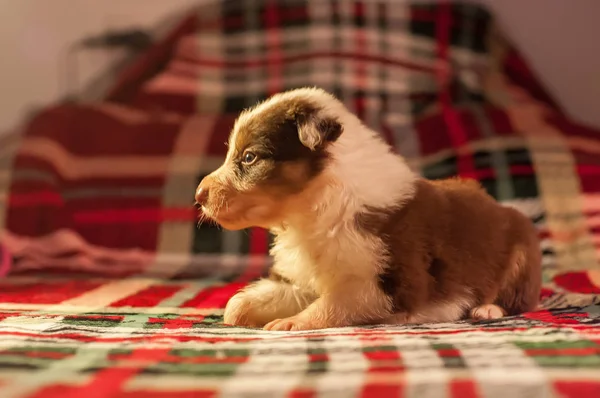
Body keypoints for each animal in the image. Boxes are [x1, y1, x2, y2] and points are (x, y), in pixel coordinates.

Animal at [195, 88, 540, 332]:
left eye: (249, 157)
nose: (199, 195)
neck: (314, 210)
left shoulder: (391, 282)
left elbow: (338, 301)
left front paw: (291, 323)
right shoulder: (306, 276)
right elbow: (244, 301)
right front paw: (239, 312)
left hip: (522, 250)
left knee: (519, 298)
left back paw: (487, 309)